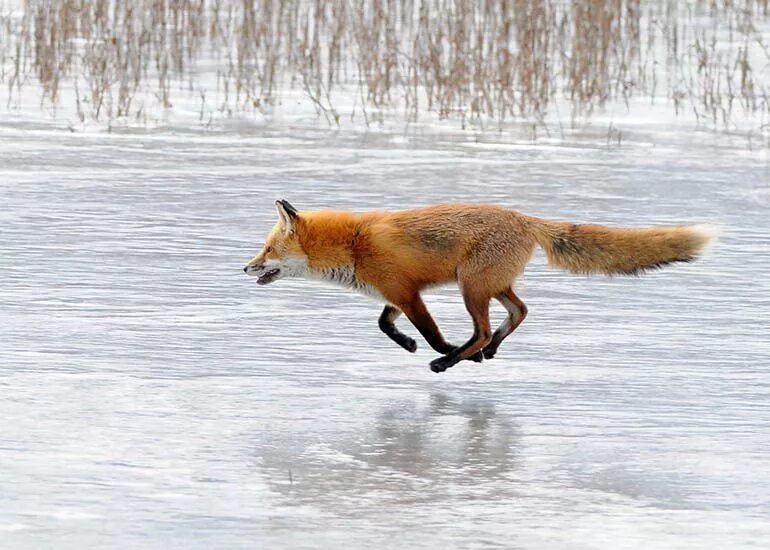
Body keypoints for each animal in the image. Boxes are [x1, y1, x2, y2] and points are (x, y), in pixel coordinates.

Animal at [242, 201, 712, 374]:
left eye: (267, 249)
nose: (245, 267)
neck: (354, 244)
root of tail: (524, 218)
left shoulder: (408, 293)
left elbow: (429, 332)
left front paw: (437, 350)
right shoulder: (398, 294)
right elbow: (384, 324)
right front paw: (409, 345)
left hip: (472, 287)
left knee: (484, 328)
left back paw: (452, 361)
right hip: (491, 286)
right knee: (519, 312)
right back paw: (485, 352)